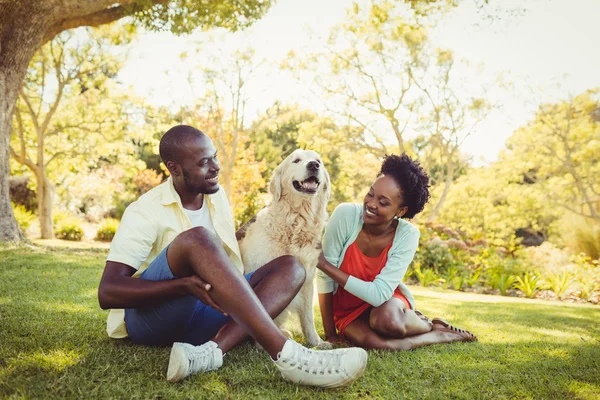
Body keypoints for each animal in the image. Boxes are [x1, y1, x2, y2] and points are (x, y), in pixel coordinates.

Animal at [238, 148, 330, 348]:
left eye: (318, 160)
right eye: (296, 160)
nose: (313, 165)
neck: (296, 221)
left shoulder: (308, 279)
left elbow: (308, 318)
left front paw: (316, 342)